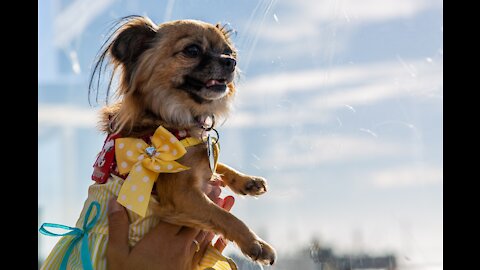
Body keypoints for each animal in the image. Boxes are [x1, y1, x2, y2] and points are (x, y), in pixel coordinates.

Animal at [91, 15, 278, 266]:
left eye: (228, 52)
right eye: (192, 50)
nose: (231, 61)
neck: (172, 118)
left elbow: (217, 163)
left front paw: (248, 181)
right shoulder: (181, 196)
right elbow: (223, 216)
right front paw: (255, 243)